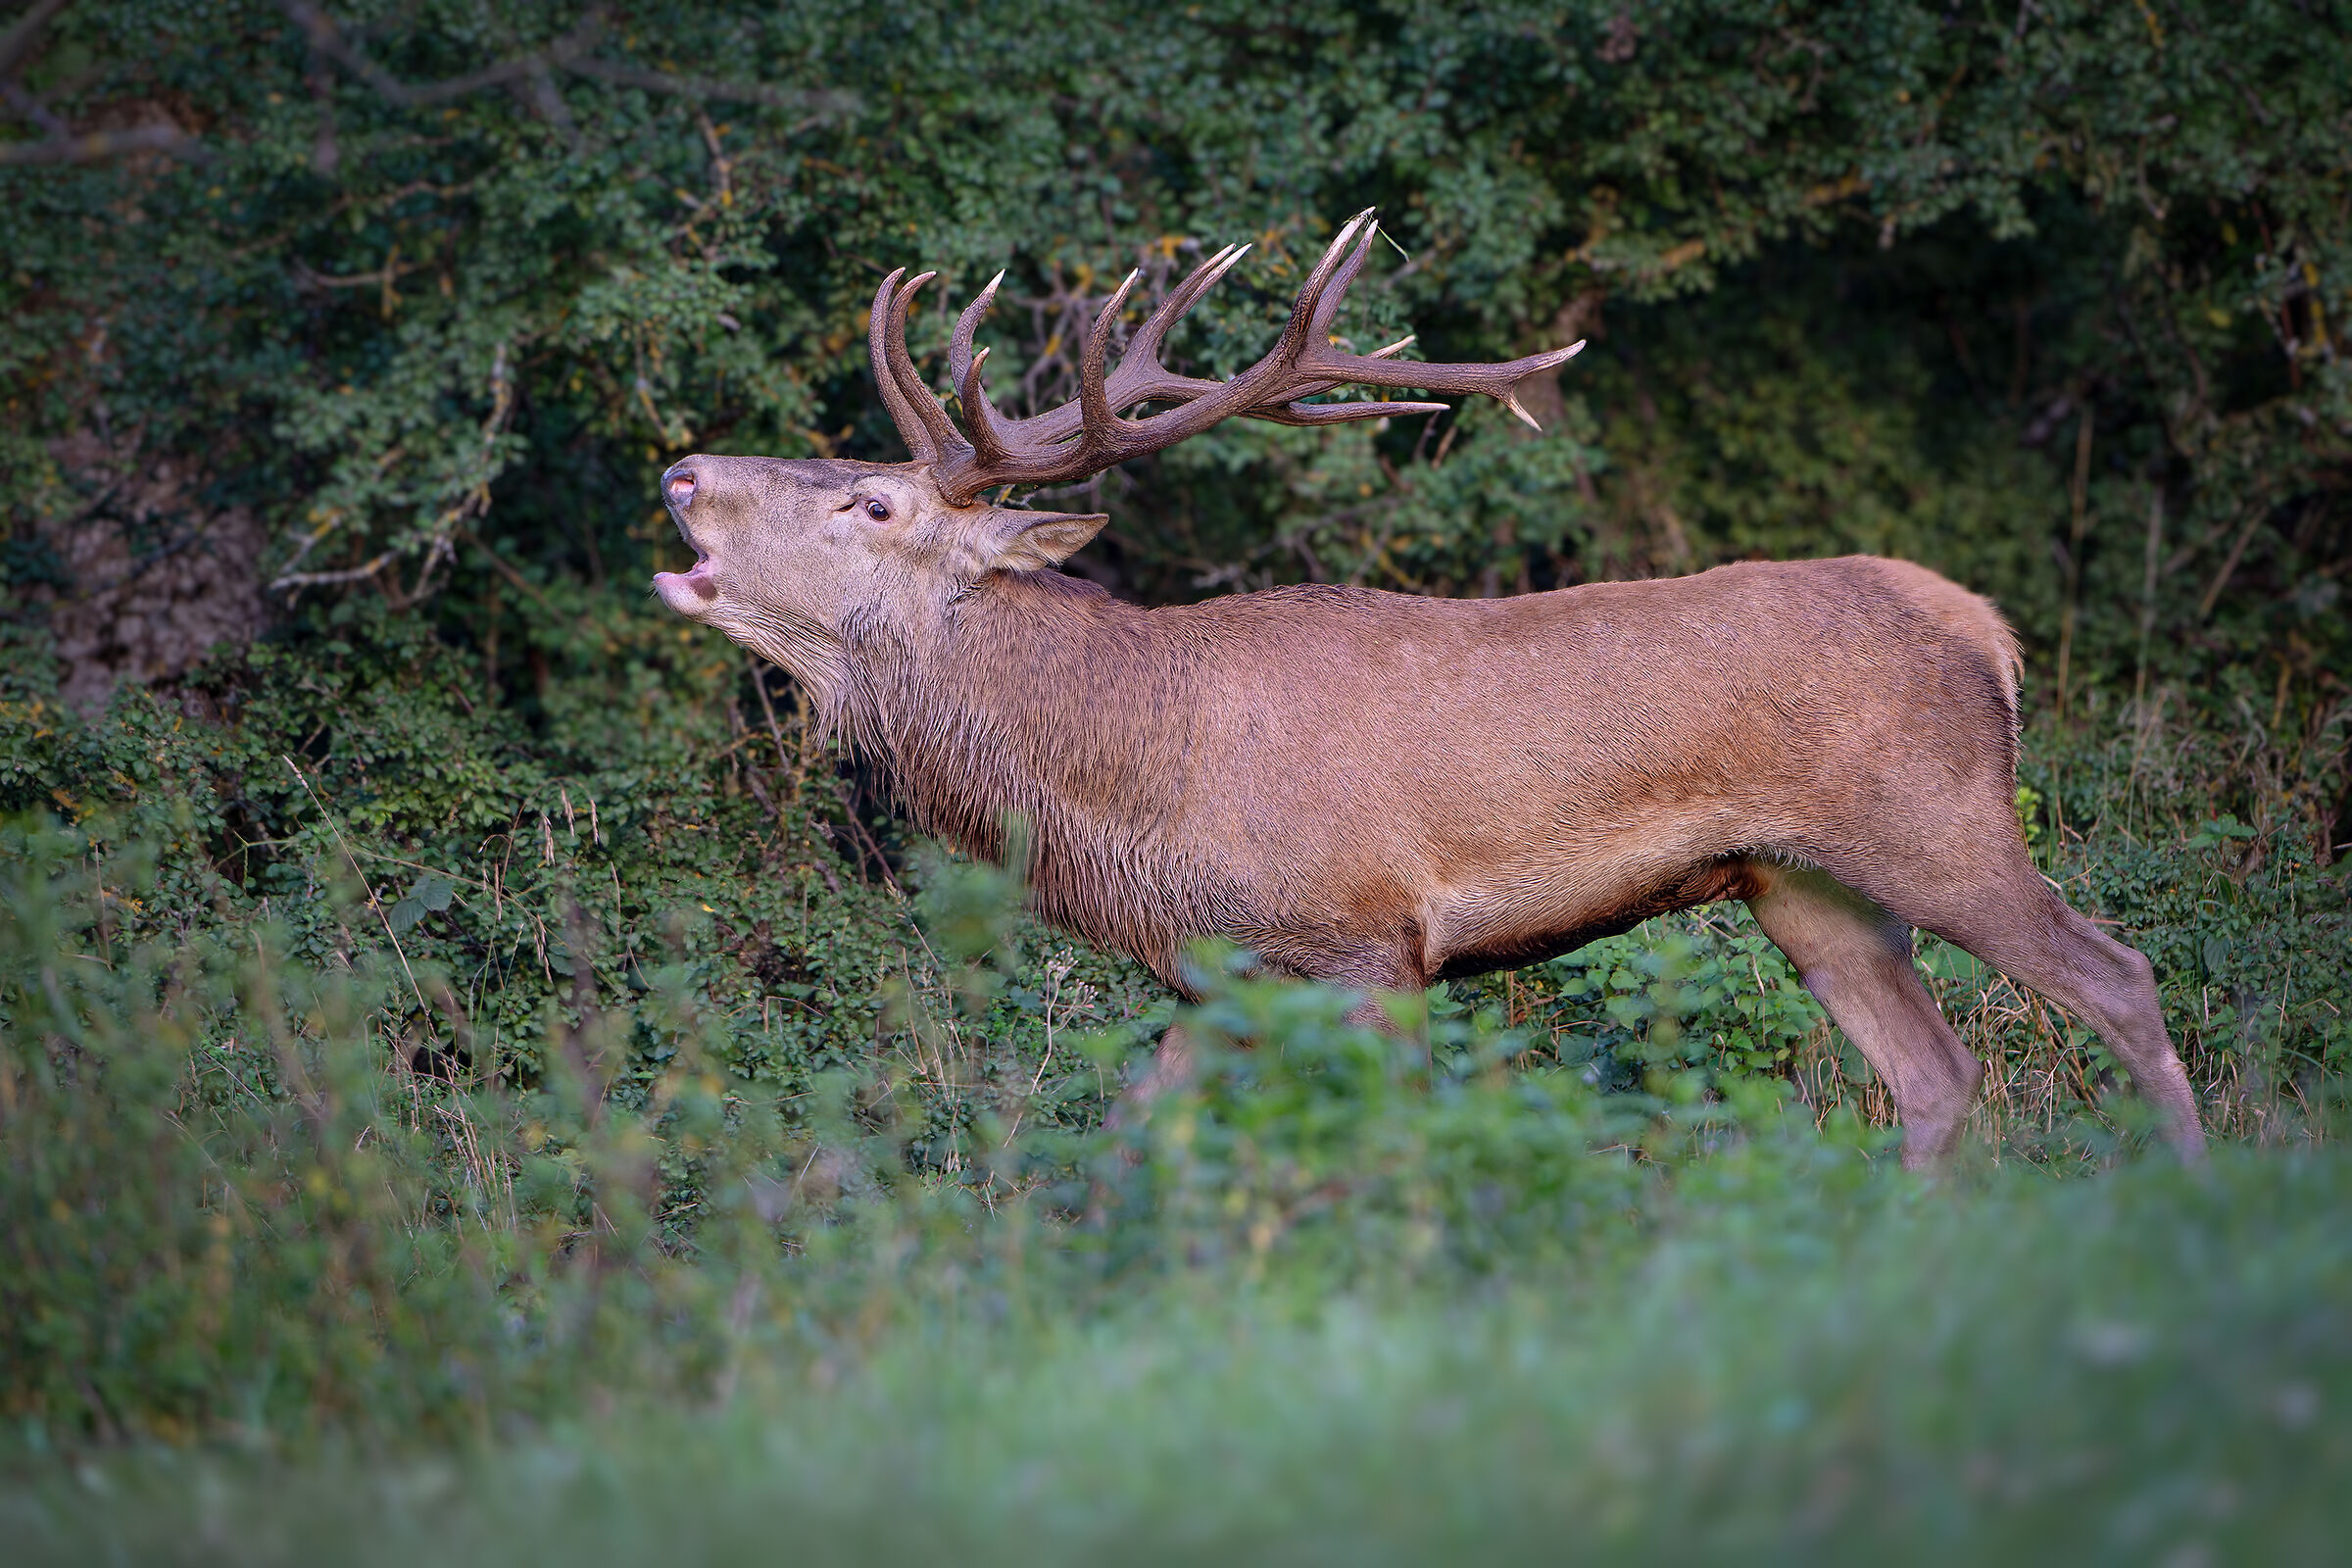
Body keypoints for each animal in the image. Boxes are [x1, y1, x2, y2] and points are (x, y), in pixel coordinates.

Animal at [650, 211, 2206, 1169]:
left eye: (870, 503)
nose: (679, 473)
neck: (1135, 792)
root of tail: (1986, 632)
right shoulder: (1222, 978)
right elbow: (1138, 1132)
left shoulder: (1374, 943)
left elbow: (1387, 1140)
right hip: (1802, 886)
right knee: (1938, 1074)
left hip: (1937, 819)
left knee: (2119, 976)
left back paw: (2186, 1196)